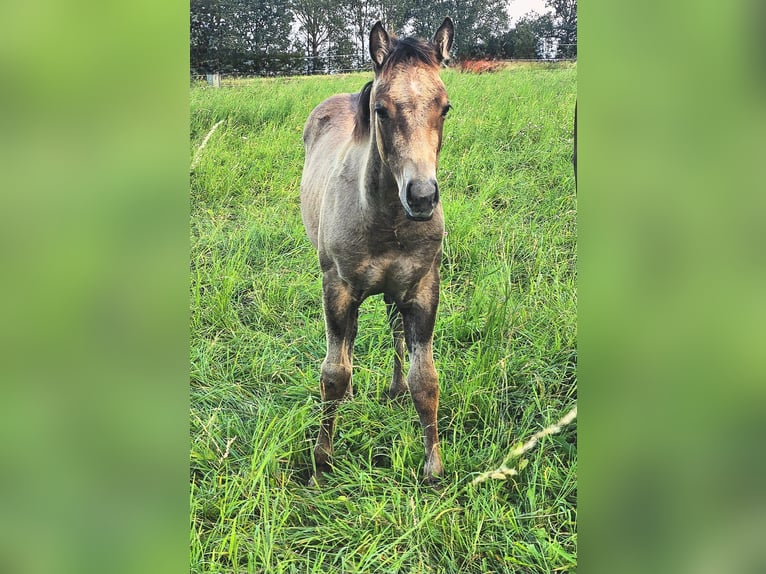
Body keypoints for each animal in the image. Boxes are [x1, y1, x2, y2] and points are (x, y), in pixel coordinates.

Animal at [300, 18, 456, 486]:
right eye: (381, 110)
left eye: (445, 107)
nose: (422, 197)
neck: (386, 221)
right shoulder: (336, 288)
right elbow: (333, 373)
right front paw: (321, 463)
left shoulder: (423, 288)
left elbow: (426, 379)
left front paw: (433, 469)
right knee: (347, 342)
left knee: (392, 327)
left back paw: (394, 389)